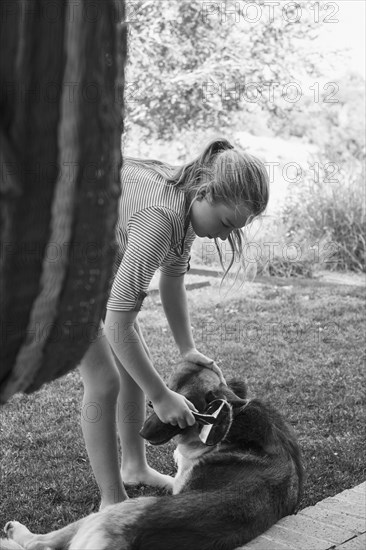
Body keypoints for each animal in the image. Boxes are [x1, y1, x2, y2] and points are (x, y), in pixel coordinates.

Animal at [2, 362, 304, 550]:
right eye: (154, 401)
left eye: (182, 414)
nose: (142, 432)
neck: (235, 418)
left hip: (112, 512)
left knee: (39, 543)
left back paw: (17, 531)